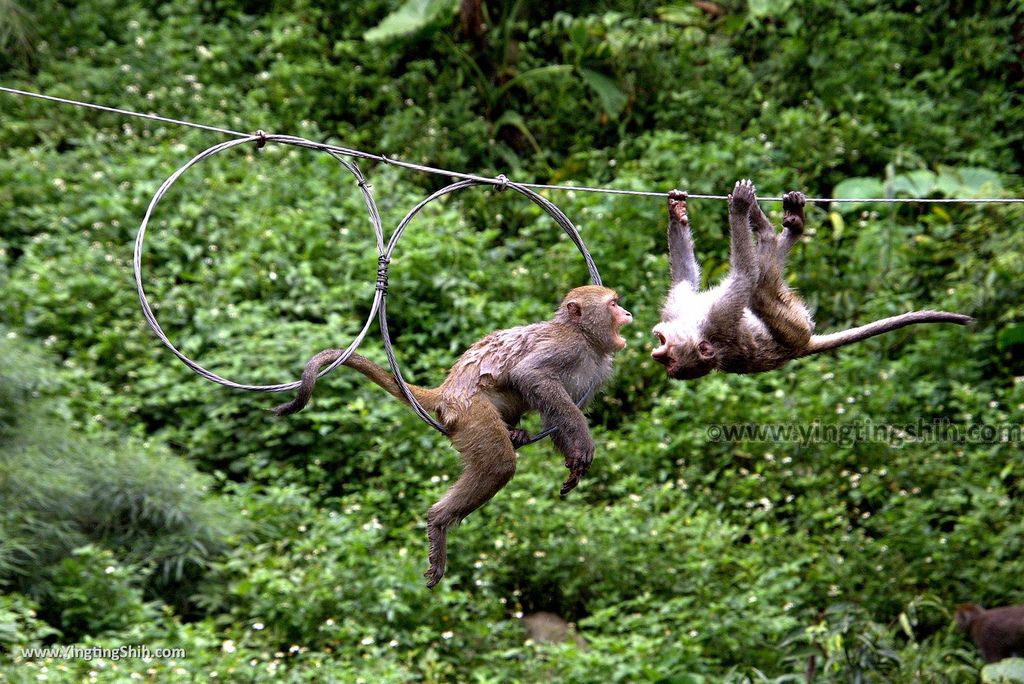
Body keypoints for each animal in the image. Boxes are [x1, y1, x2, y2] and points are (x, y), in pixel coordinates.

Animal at [651, 179, 970, 378]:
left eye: (667, 357)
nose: (656, 355)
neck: (698, 328)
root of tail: (803, 346)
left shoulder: (686, 313)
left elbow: (686, 278)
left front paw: (676, 211)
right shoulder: (720, 317)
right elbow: (743, 277)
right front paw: (739, 207)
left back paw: (790, 224)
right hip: (795, 323)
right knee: (761, 288)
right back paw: (769, 228)